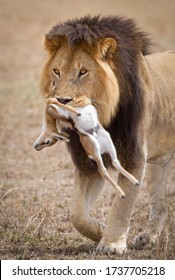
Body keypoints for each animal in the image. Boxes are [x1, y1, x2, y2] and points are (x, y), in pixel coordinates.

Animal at [38, 15, 175, 256]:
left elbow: (123, 202)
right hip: (159, 163)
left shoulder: (133, 154)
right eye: (56, 71)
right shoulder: (89, 162)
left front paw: (112, 243)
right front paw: (100, 231)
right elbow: (77, 214)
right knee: (162, 207)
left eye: (83, 72)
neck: (104, 115)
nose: (62, 101)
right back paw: (148, 237)